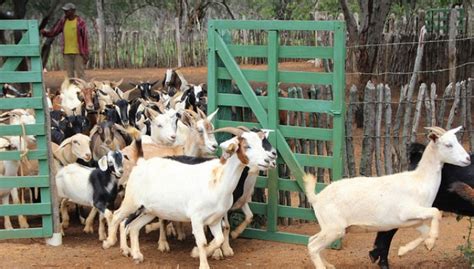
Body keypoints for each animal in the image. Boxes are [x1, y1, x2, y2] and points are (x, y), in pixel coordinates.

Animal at [103, 126, 274, 266]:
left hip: (149, 210)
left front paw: (198, 253)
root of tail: (141, 163)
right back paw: (111, 242)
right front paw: (203, 262)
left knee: (134, 227)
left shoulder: (215, 219)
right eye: (247, 146)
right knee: (118, 216)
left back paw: (137, 255)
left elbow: (218, 239)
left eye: (261, 143)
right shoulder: (196, 218)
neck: (217, 180)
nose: (268, 160)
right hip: (132, 202)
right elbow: (202, 241)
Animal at [304, 126, 470, 268]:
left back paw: (329, 265)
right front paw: (431, 243)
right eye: (448, 144)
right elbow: (436, 212)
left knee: (312, 241)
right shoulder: (407, 211)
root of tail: (316, 198)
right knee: (313, 246)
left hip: (329, 227)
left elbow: (424, 232)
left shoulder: (414, 221)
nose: (468, 158)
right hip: (334, 228)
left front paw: (403, 250)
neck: (420, 181)